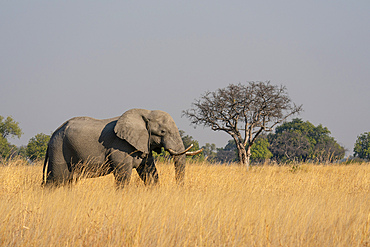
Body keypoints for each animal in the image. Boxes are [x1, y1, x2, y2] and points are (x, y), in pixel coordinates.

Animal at [42, 108, 202, 187]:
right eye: (163, 132)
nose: (178, 188)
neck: (145, 113)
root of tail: (52, 136)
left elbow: (150, 171)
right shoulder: (120, 146)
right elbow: (123, 175)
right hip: (59, 149)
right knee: (57, 180)